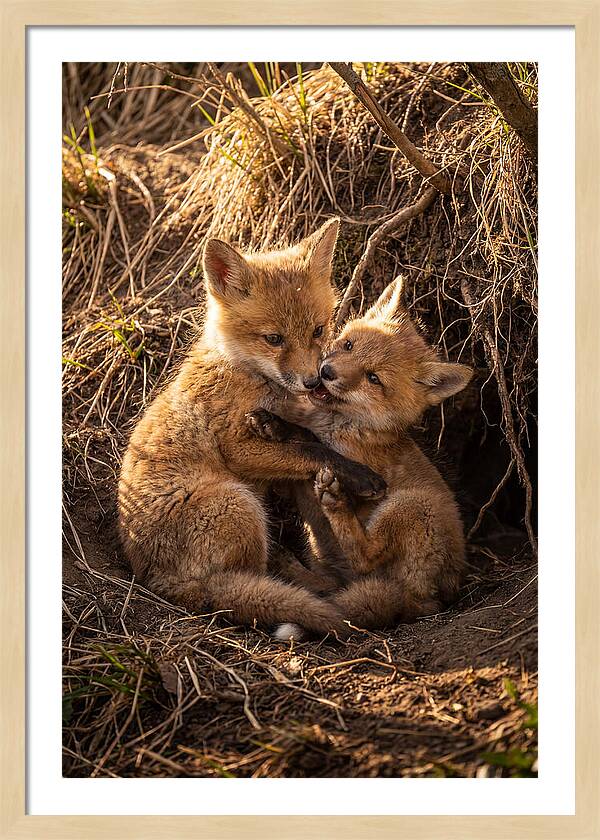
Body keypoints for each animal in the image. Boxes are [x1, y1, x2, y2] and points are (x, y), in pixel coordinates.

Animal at [117, 218, 387, 638]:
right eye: (273, 339)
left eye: (317, 330)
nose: (313, 381)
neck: (243, 372)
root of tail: (159, 583)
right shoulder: (237, 447)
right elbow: (312, 450)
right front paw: (359, 475)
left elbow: (304, 438)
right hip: (238, 504)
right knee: (252, 581)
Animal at [246, 275, 473, 640]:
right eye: (349, 345)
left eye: (373, 378)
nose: (326, 372)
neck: (338, 423)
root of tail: (431, 601)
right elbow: (301, 435)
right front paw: (273, 423)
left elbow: (314, 443)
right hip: (328, 555)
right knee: (333, 584)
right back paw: (291, 567)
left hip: (411, 506)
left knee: (366, 555)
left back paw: (335, 504)